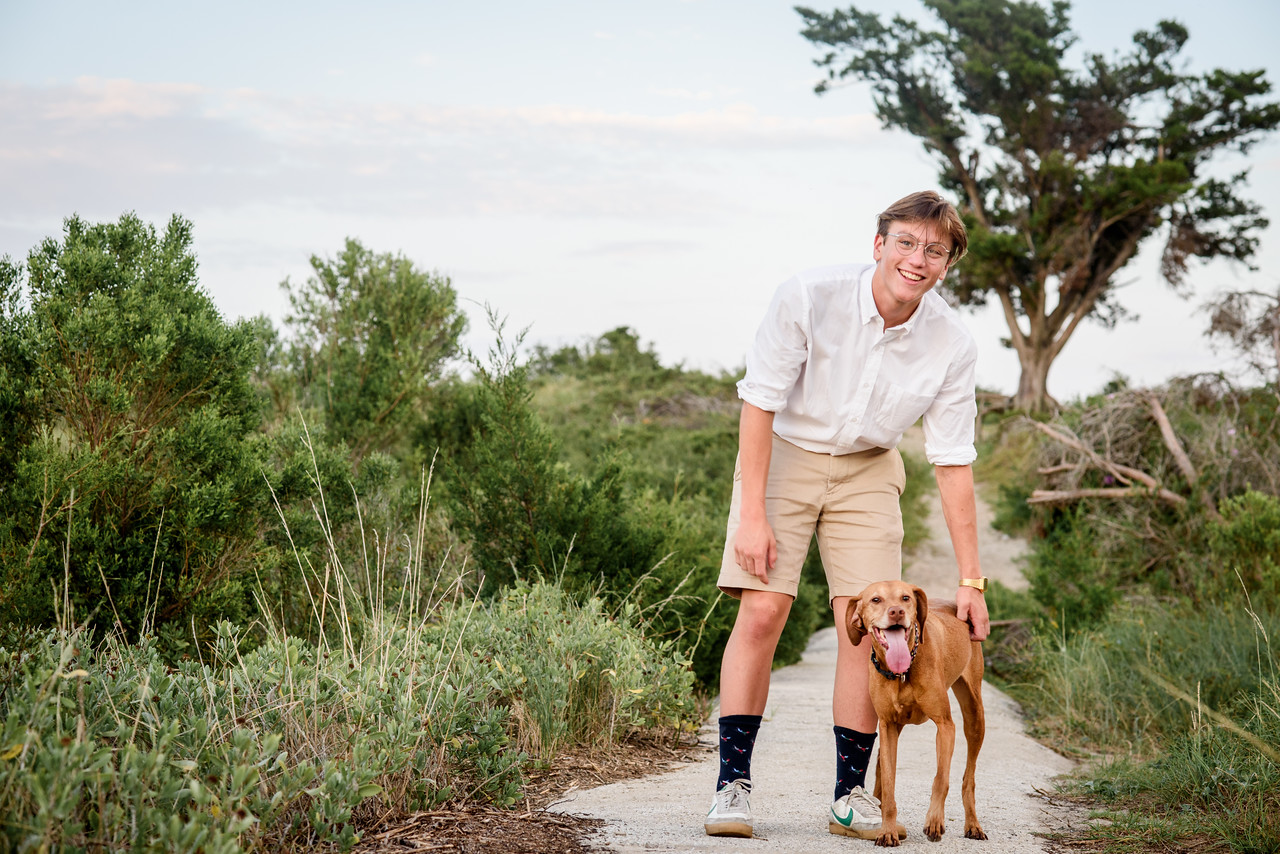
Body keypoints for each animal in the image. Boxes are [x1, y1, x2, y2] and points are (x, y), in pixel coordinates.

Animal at [849, 581, 988, 850]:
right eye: (875, 599)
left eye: (905, 598)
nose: (896, 612)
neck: (902, 672)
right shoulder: (888, 726)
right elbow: (889, 784)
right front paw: (888, 830)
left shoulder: (945, 726)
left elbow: (941, 779)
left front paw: (934, 821)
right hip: (894, 729)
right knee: (881, 767)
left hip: (975, 716)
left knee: (969, 778)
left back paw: (973, 825)